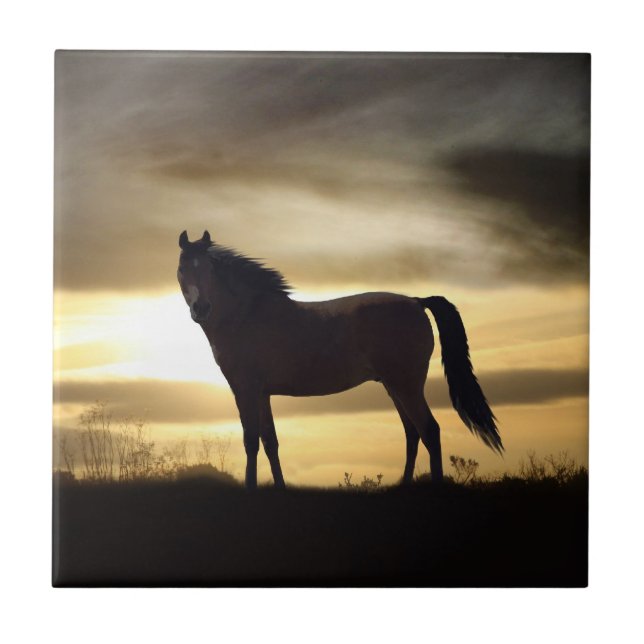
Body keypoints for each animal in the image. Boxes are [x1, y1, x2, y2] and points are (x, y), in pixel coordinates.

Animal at [177, 230, 502, 488]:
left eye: (209, 269)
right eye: (182, 268)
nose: (201, 308)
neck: (247, 316)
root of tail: (416, 302)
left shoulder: (245, 390)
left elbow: (251, 441)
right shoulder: (262, 393)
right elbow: (270, 442)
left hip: (406, 385)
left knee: (429, 431)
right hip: (394, 387)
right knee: (412, 434)